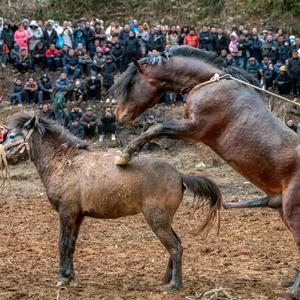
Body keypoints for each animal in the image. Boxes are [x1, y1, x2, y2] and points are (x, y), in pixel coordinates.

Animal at [3, 113, 221, 292]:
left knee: (176, 247)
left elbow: (62, 243)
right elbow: (71, 244)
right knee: (177, 244)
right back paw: (166, 279)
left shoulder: (66, 213)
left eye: (12, 136)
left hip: (157, 220)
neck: (64, 162)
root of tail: (179, 175)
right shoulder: (77, 216)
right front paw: (70, 276)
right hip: (163, 221)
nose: (2, 156)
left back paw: (174, 285)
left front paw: (63, 277)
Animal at [111, 45, 300, 298]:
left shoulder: (195, 128)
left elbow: (156, 128)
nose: (118, 115)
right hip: (284, 211)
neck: (209, 83)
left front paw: (125, 155)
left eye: (131, 84)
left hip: (292, 211)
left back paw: (294, 290)